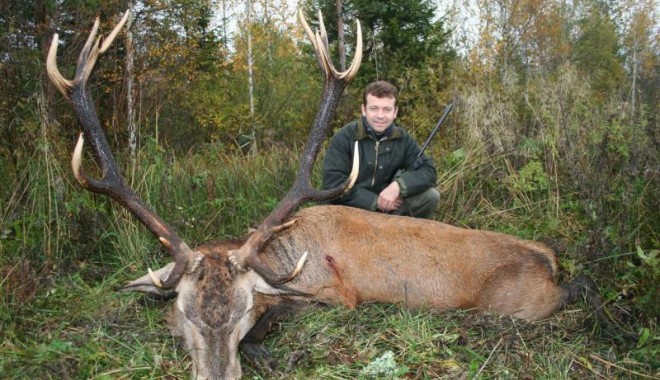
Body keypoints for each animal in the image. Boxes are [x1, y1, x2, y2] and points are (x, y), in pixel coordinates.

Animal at [49, 8, 616, 380]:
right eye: (183, 314)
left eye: (243, 311)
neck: (281, 256)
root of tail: (547, 257)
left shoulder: (335, 293)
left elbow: (283, 316)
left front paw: (266, 351)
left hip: (522, 304)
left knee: (573, 290)